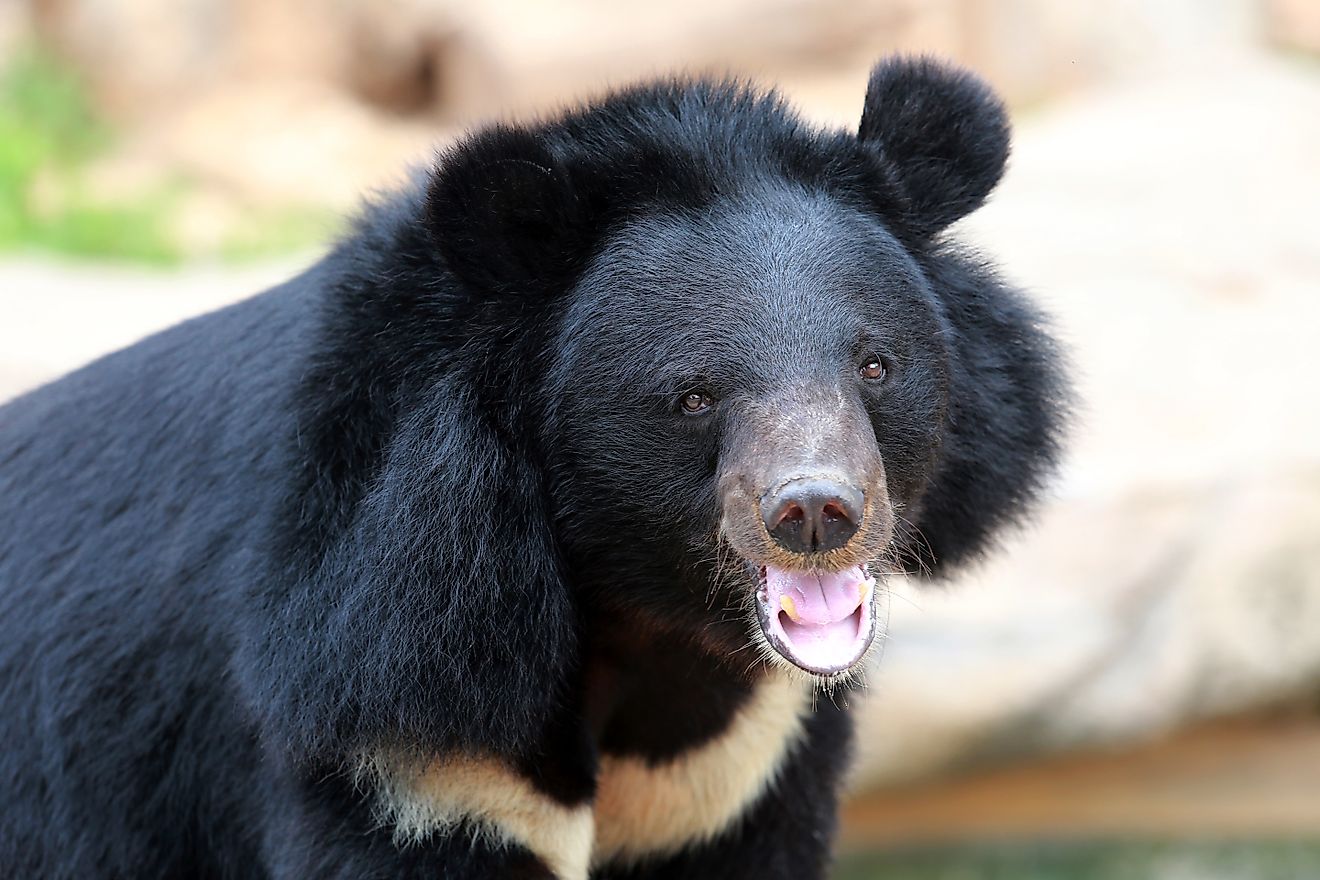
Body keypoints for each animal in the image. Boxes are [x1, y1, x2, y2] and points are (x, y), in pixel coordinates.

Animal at [0, 56, 1066, 878]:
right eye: (694, 395)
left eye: (875, 365)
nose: (814, 512)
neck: (643, 618)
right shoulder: (395, 727)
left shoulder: (734, 773)